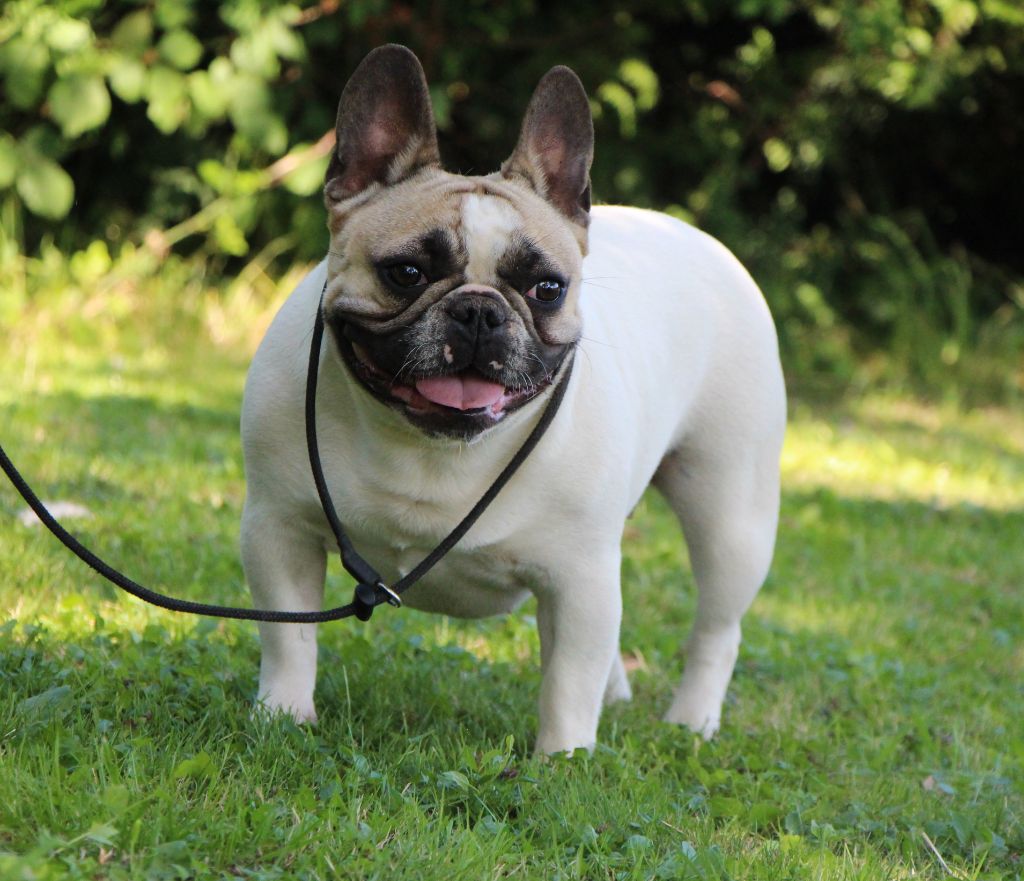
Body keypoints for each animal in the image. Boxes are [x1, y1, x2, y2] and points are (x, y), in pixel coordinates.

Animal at [239, 44, 782, 753]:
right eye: (406, 273)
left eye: (547, 289)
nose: (479, 310)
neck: (430, 447)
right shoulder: (278, 529)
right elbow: (289, 638)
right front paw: (283, 716)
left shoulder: (578, 578)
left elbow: (568, 682)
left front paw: (563, 759)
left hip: (730, 513)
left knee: (717, 627)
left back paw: (692, 721)